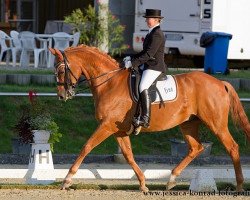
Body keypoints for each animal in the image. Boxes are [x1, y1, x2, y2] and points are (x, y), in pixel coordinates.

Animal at [49, 45, 250, 192]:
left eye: (61, 70)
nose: (61, 95)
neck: (109, 83)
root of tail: (220, 83)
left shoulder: (106, 126)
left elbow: (87, 147)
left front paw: (67, 179)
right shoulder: (119, 130)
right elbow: (128, 155)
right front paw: (143, 184)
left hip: (216, 124)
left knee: (232, 147)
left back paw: (239, 186)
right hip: (188, 124)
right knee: (195, 148)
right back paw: (171, 179)